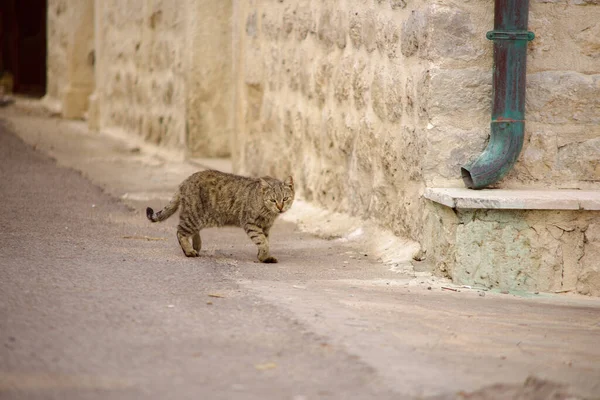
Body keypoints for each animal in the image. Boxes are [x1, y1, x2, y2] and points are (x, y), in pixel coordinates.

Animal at [146, 170, 294, 260]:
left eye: (285, 199)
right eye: (273, 200)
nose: (280, 207)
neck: (269, 213)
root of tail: (185, 181)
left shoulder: (265, 227)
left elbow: (265, 240)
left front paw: (263, 255)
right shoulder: (251, 223)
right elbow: (262, 240)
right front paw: (264, 256)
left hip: (197, 217)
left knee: (191, 231)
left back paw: (196, 245)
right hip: (194, 215)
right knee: (180, 231)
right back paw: (189, 251)